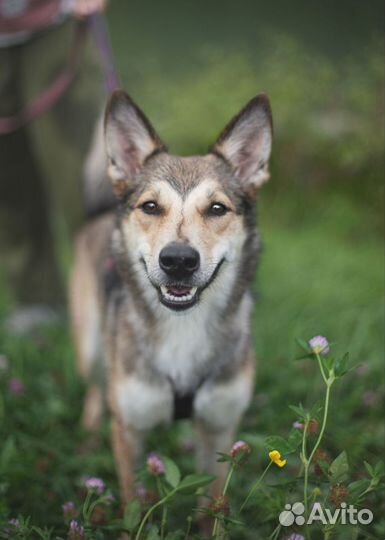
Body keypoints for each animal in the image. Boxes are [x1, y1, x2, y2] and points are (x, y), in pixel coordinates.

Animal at [70, 89, 272, 506]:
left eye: (217, 208)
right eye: (151, 206)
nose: (178, 260)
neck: (183, 328)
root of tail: (100, 212)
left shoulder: (220, 429)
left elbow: (211, 506)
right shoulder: (129, 431)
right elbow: (133, 504)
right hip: (91, 347)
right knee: (95, 391)